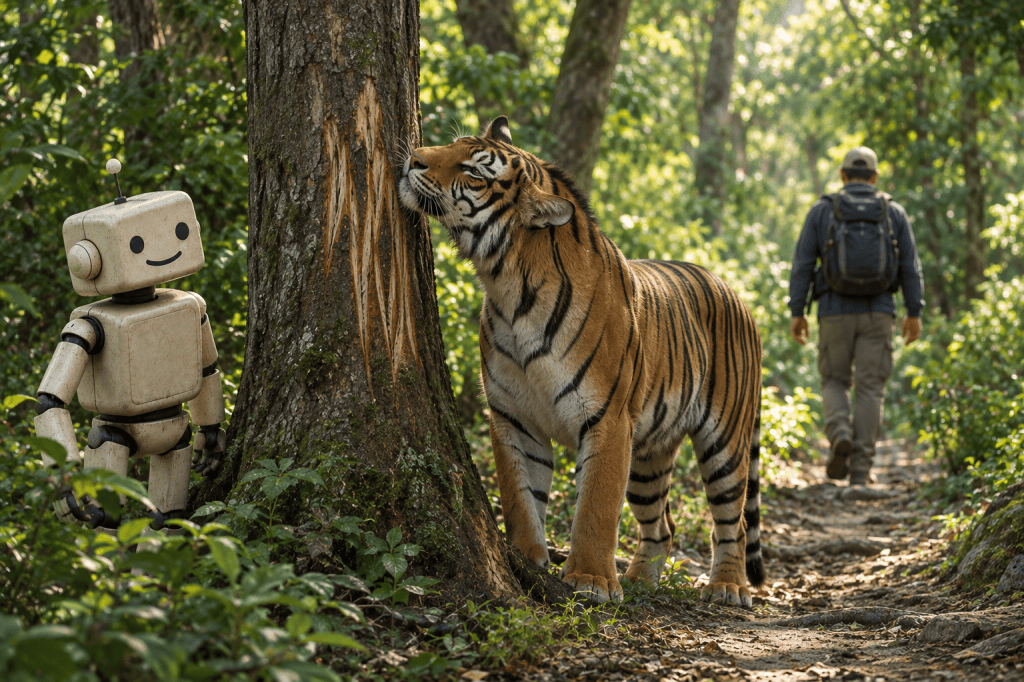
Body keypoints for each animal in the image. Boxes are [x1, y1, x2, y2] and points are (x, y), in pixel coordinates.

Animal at [399, 116, 765, 606]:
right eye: (455, 144)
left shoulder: (608, 419)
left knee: (734, 521)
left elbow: (596, 506)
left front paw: (590, 580)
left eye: (474, 171)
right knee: (662, 525)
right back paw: (640, 581)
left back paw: (727, 586)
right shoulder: (513, 416)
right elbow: (520, 496)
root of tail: (732, 290)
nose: (414, 157)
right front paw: (526, 557)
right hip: (648, 457)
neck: (509, 288)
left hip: (725, 439)